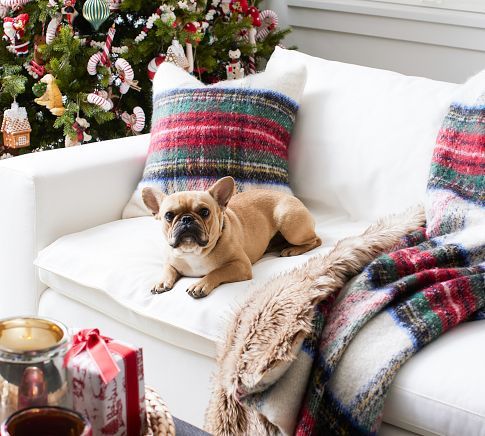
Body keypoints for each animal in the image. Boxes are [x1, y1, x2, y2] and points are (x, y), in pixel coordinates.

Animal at [142, 176, 320, 296]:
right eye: (168, 215)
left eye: (204, 212)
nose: (186, 219)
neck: (193, 252)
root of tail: (293, 198)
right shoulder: (170, 260)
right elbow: (168, 270)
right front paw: (162, 281)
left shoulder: (240, 265)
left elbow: (217, 271)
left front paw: (200, 284)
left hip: (289, 225)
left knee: (316, 240)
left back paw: (293, 250)